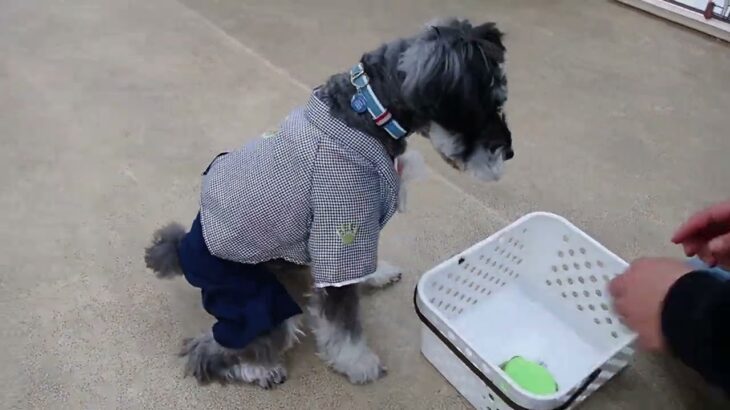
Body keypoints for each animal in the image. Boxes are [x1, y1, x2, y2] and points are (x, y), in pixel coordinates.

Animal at [144, 17, 512, 390]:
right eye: (479, 108)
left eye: (500, 101)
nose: (509, 153)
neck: (368, 111)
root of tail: (184, 249)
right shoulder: (340, 227)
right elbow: (342, 325)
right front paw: (359, 363)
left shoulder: (353, 235)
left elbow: (357, 271)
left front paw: (377, 274)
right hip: (255, 301)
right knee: (211, 349)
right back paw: (260, 369)